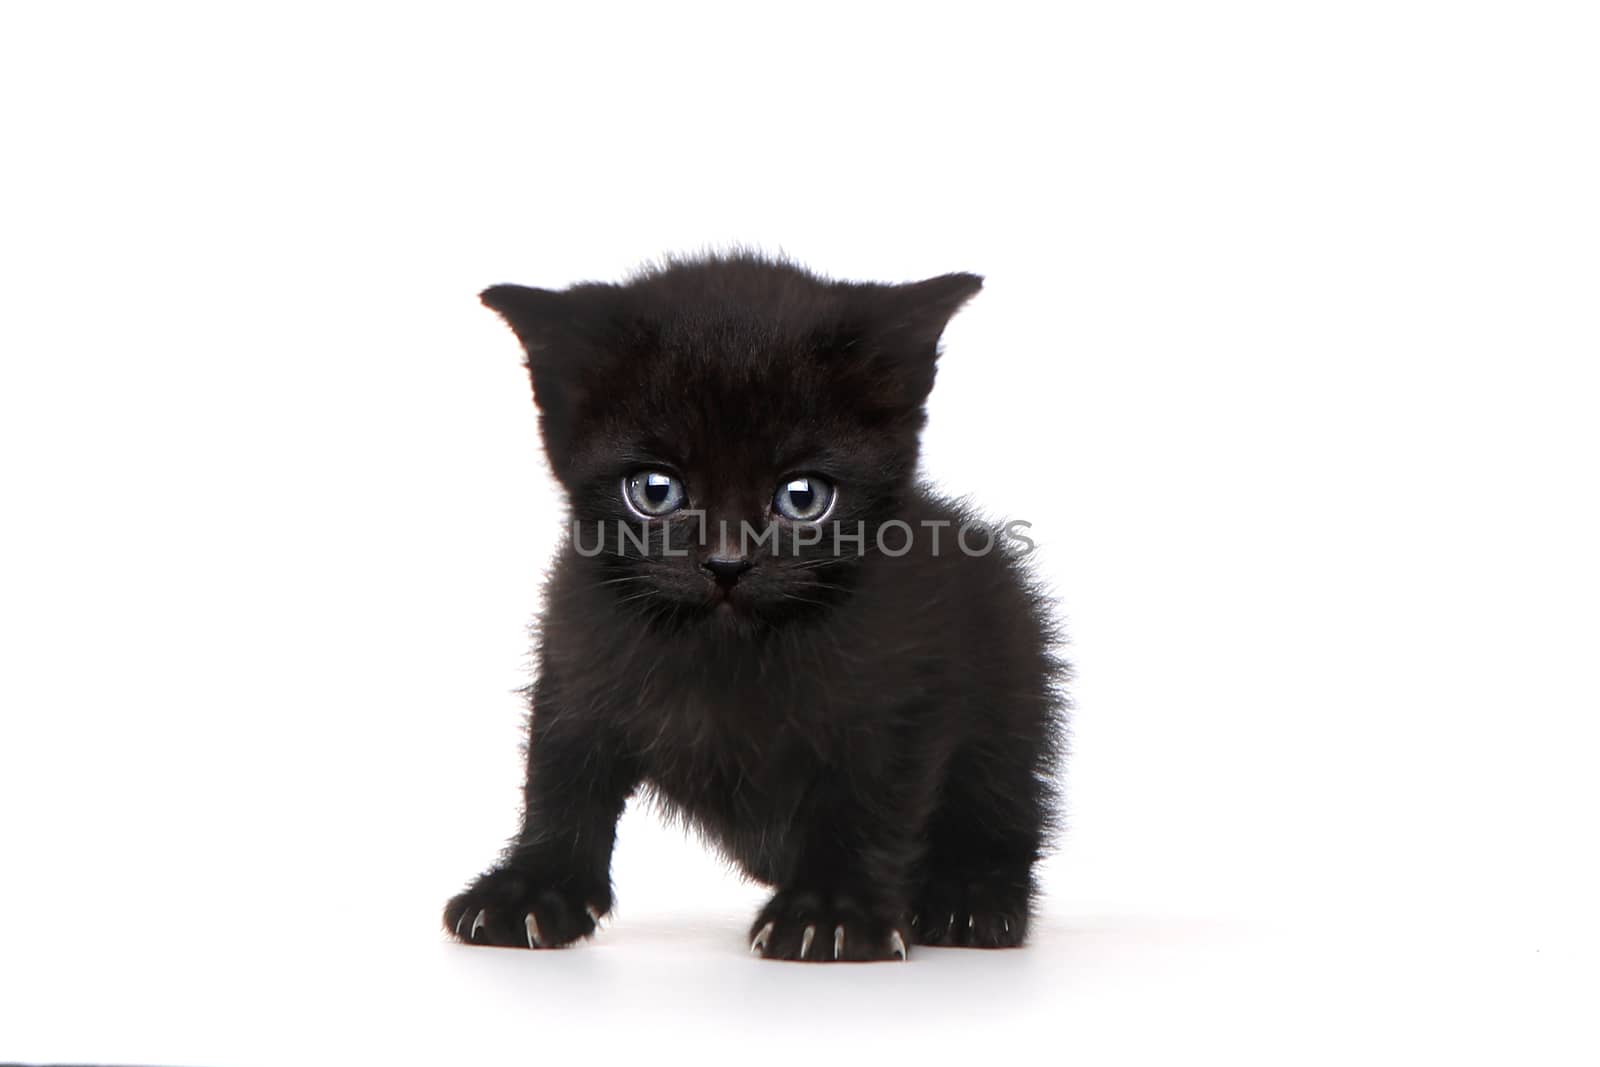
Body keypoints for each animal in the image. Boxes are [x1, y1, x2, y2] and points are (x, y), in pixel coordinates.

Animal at [441, 254, 1062, 966]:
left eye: (802, 497)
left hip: (1014, 684)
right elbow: (562, 780)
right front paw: (530, 890)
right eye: (655, 490)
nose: (727, 562)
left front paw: (833, 910)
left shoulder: (902, 687)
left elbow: (867, 802)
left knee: (1003, 812)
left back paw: (970, 898)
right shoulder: (575, 655)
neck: (728, 651)